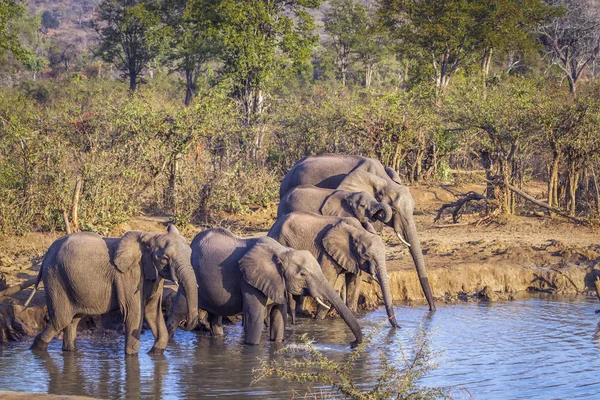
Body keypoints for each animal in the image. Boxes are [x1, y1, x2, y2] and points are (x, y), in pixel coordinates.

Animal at [29, 223, 199, 354]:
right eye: (164, 258)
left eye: (191, 253)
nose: (184, 322)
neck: (150, 237)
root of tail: (46, 255)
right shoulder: (128, 275)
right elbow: (134, 313)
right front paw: (131, 355)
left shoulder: (154, 277)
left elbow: (152, 312)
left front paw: (153, 353)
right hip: (55, 277)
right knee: (61, 320)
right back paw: (36, 349)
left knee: (73, 320)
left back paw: (69, 351)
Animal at [166, 228, 364, 346]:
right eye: (303, 274)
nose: (352, 344)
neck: (283, 252)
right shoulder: (248, 281)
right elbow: (255, 318)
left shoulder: (278, 283)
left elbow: (278, 318)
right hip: (190, 276)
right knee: (179, 309)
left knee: (216, 317)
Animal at [268, 212, 398, 328]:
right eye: (366, 255)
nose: (397, 326)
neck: (357, 230)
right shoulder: (326, 254)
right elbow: (328, 280)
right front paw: (318, 320)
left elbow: (354, 285)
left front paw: (353, 315)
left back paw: (301, 313)